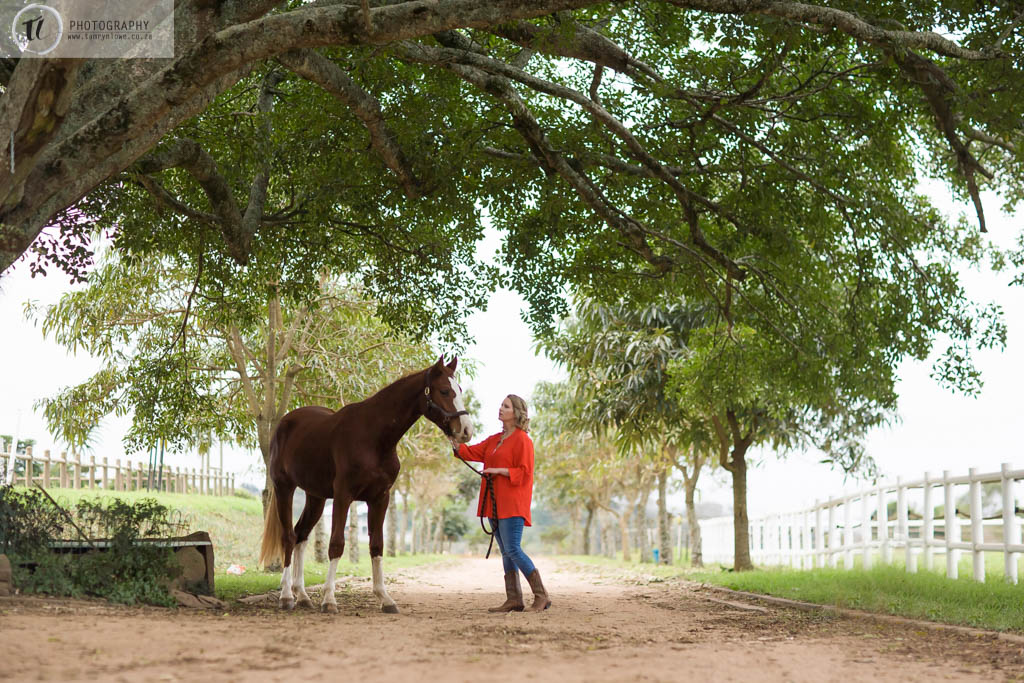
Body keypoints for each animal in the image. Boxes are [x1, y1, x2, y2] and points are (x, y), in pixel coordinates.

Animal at [258, 356, 473, 613]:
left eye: (459, 389)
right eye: (444, 391)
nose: (466, 431)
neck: (373, 437)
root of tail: (285, 422)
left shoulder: (380, 498)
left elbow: (377, 545)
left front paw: (385, 598)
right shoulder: (343, 495)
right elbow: (336, 544)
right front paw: (329, 599)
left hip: (316, 497)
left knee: (301, 535)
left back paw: (302, 596)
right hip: (284, 488)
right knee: (289, 537)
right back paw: (286, 596)